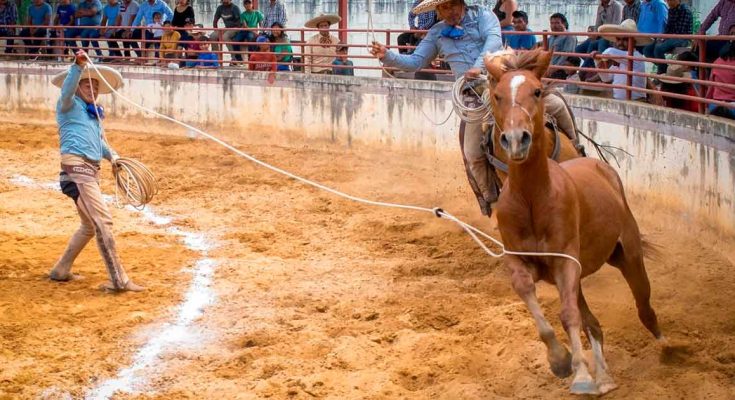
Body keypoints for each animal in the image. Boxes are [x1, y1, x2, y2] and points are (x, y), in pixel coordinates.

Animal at [486, 49, 664, 394]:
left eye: (537, 91)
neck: (533, 198)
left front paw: (580, 374)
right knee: (593, 324)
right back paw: (604, 378)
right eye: (497, 95)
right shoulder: (520, 261)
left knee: (644, 305)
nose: (516, 139)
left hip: (629, 255)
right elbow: (530, 294)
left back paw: (668, 347)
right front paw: (559, 360)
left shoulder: (566, 261)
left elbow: (569, 315)